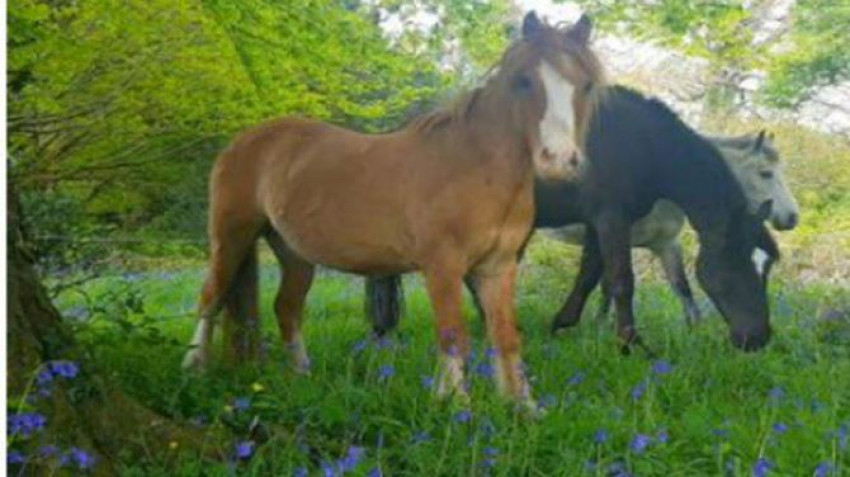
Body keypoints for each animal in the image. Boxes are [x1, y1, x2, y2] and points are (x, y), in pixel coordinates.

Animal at [181, 12, 606, 408]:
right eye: (523, 81)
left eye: (585, 85)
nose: (558, 161)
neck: (474, 167)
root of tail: (244, 141)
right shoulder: (443, 267)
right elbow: (454, 335)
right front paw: (456, 406)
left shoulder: (497, 268)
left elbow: (505, 336)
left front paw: (523, 407)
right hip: (230, 237)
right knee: (210, 299)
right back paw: (195, 368)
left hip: (294, 253)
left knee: (286, 308)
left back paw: (301, 375)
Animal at [544, 129, 798, 325]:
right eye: (765, 173)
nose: (792, 217)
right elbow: (609, 285)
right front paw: (601, 325)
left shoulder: (667, 244)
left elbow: (683, 288)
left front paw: (695, 330)